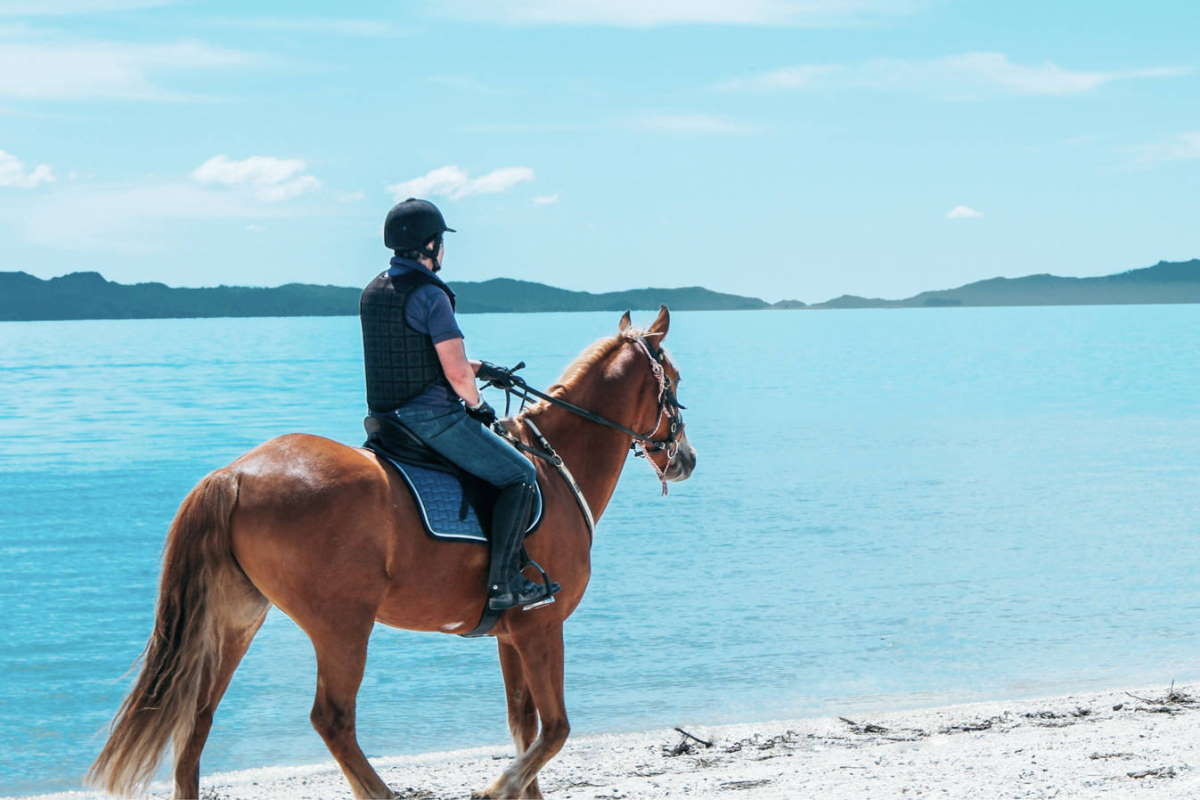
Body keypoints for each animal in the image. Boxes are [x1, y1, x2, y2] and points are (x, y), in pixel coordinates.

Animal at [88, 307, 700, 800]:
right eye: (672, 380)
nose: (686, 458)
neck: (552, 465)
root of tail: (234, 474)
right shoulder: (541, 626)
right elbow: (555, 730)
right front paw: (495, 787)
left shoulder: (511, 635)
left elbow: (524, 728)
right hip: (341, 625)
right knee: (332, 719)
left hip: (235, 620)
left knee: (198, 719)